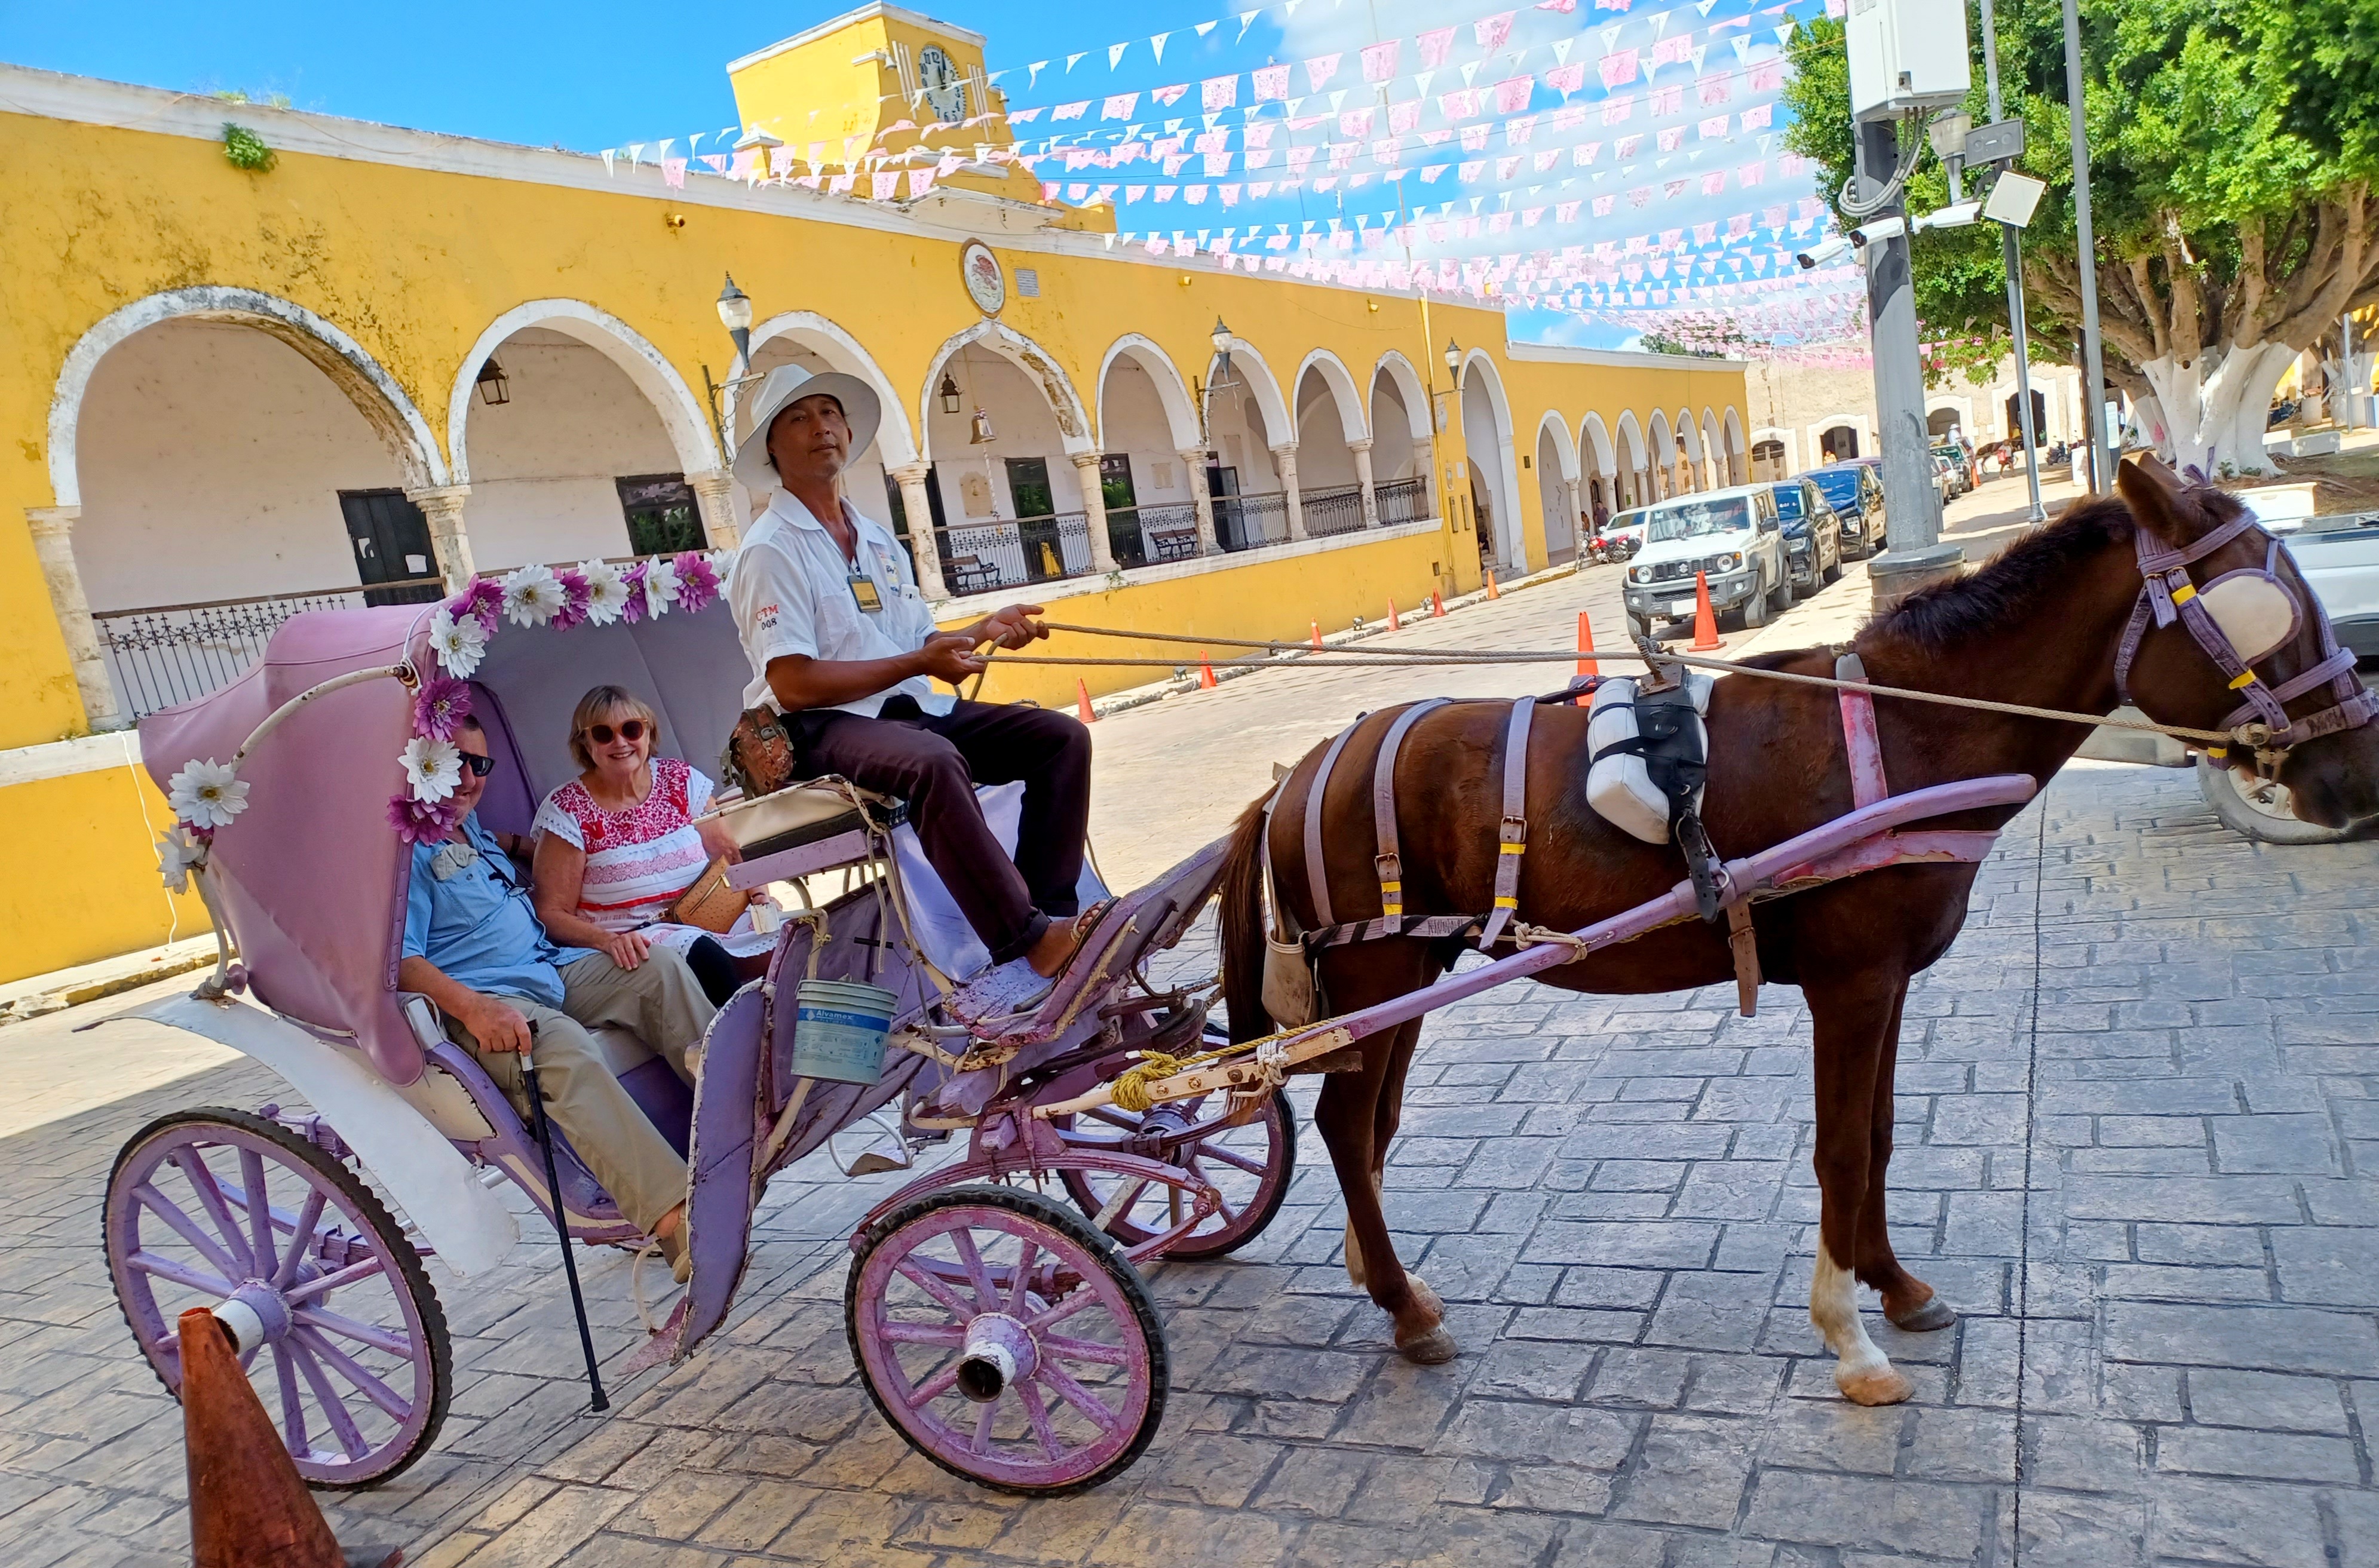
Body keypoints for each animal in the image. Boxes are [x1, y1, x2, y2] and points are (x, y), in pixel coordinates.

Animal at [1217, 456, 2379, 1405]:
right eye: (2275, 606)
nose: (2356, 768)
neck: (1905, 729)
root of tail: (1296, 775)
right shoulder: (1851, 981)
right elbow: (1837, 1148)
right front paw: (1850, 1339)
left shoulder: (1889, 980)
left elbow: (1879, 1136)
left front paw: (1896, 1285)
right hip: (1377, 973)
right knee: (1342, 1127)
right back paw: (1403, 1308)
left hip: (1409, 973)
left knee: (1369, 1128)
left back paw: (1384, 1279)